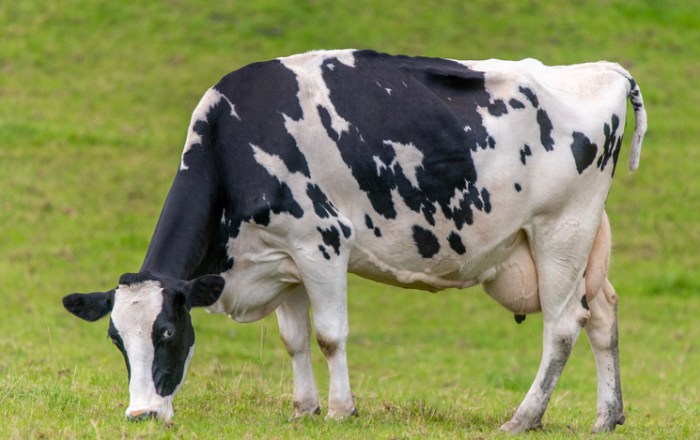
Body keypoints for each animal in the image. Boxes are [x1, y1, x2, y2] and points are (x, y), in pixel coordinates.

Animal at [63, 49, 648, 432]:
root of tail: (603, 69)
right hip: (584, 240)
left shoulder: (320, 243)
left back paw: (524, 417)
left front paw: (342, 410)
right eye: (116, 340)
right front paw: (303, 408)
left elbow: (329, 336)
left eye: (166, 332)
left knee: (563, 326)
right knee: (603, 312)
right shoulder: (283, 256)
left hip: (561, 230)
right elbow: (294, 340)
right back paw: (607, 416)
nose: (141, 414)